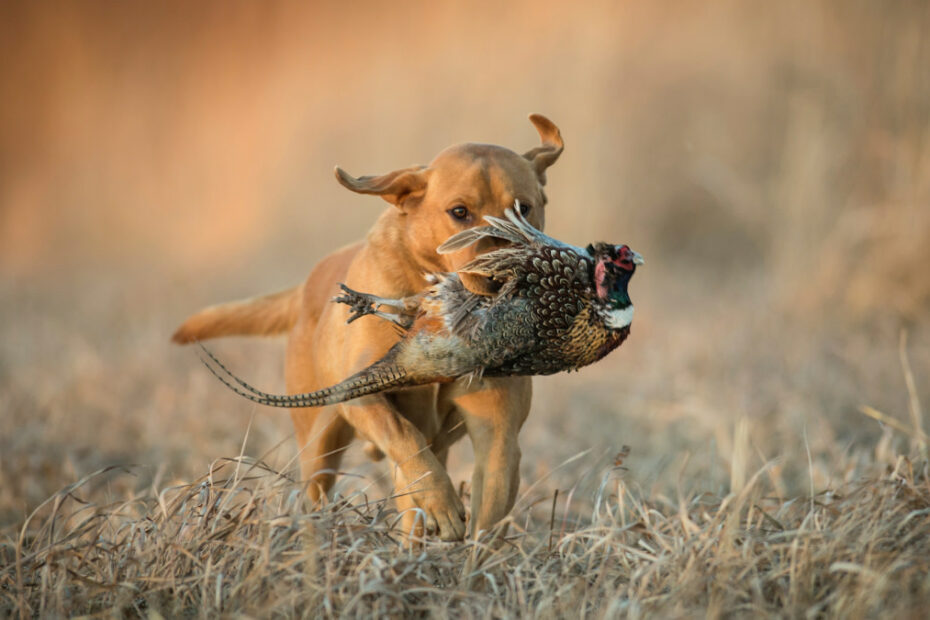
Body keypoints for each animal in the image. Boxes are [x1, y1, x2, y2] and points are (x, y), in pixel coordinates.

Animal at [175, 114, 564, 540]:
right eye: (459, 211)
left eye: (523, 209)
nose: (503, 275)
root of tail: (307, 286)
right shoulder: (363, 394)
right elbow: (402, 434)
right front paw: (443, 504)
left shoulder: (498, 430)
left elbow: (489, 505)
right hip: (319, 439)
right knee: (319, 488)